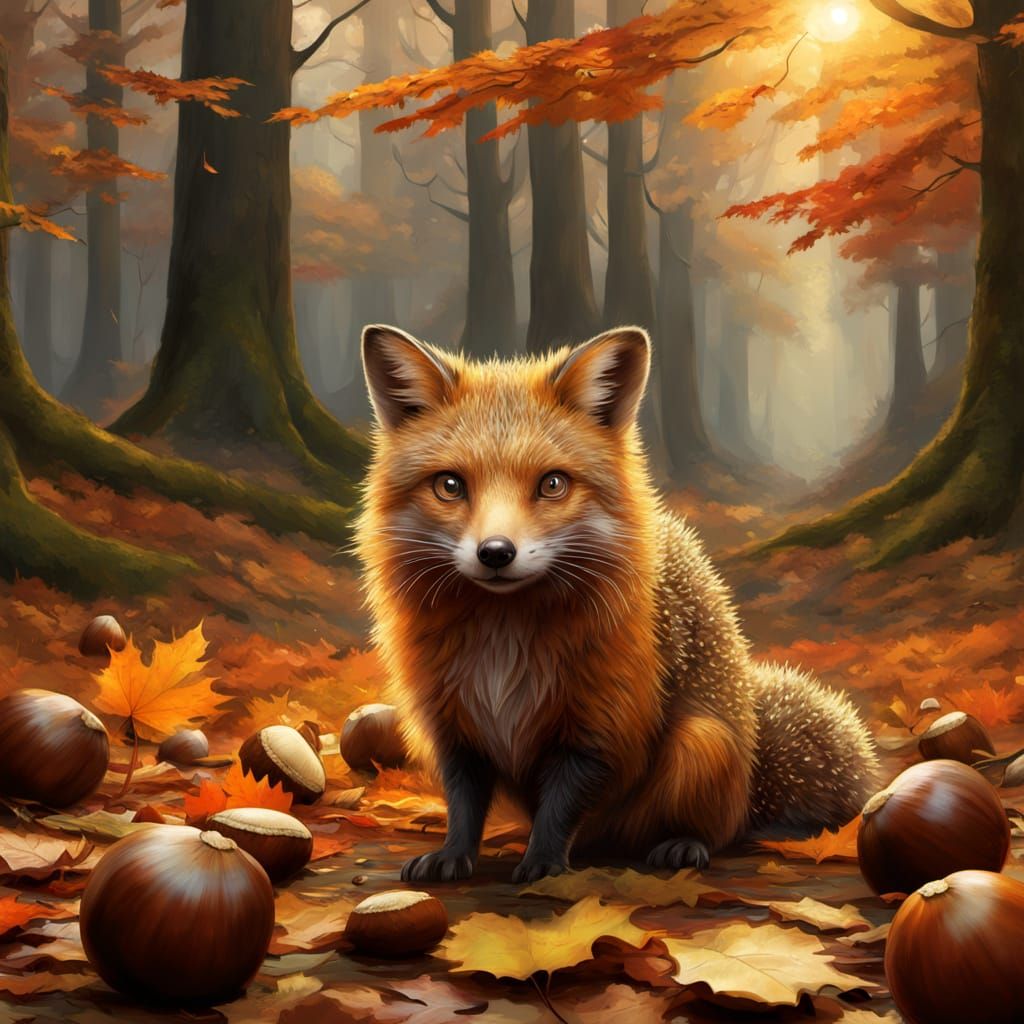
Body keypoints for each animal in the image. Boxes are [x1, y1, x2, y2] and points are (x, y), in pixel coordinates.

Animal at [355, 323, 879, 884]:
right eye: (450, 485)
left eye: (552, 483)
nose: (496, 552)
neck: (503, 642)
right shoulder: (454, 728)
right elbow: (464, 804)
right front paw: (455, 855)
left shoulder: (602, 727)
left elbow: (560, 808)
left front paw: (543, 864)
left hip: (700, 744)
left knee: (717, 831)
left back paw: (682, 845)